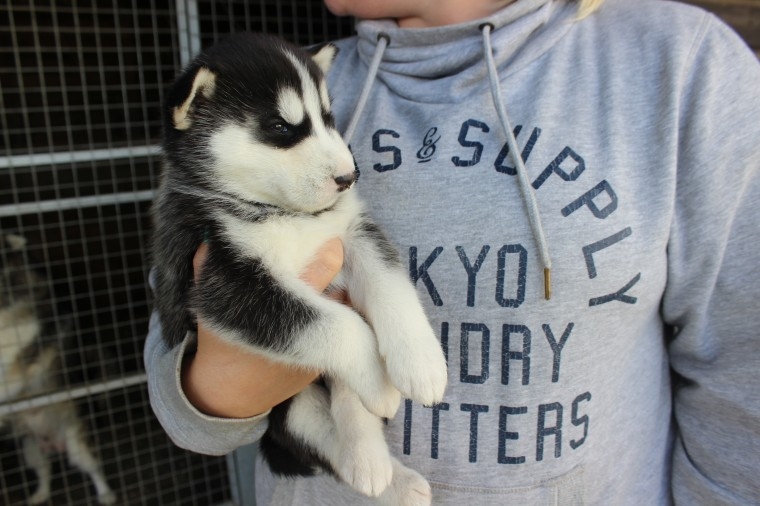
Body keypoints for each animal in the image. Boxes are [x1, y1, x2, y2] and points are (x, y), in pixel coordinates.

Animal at [0, 235, 117, 504]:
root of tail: (53, 442)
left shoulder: (25, 357)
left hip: (77, 443)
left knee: (92, 468)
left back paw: (106, 493)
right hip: (31, 448)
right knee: (45, 469)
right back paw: (40, 494)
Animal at [154, 32, 448, 502]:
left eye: (329, 119)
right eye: (280, 127)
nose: (349, 177)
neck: (280, 213)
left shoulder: (352, 232)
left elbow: (391, 287)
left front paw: (420, 361)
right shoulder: (224, 278)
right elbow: (340, 326)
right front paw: (378, 380)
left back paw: (381, 466)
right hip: (287, 407)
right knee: (317, 440)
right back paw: (377, 470)